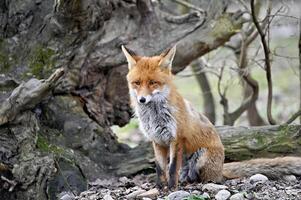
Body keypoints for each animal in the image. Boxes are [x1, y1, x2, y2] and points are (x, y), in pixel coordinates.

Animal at [120, 44, 300, 190]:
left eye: (153, 83)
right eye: (137, 83)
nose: (142, 100)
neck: (154, 116)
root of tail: (221, 167)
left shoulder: (176, 139)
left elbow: (171, 169)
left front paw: (171, 189)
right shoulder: (157, 140)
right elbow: (160, 169)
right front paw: (159, 187)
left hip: (201, 159)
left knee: (212, 179)